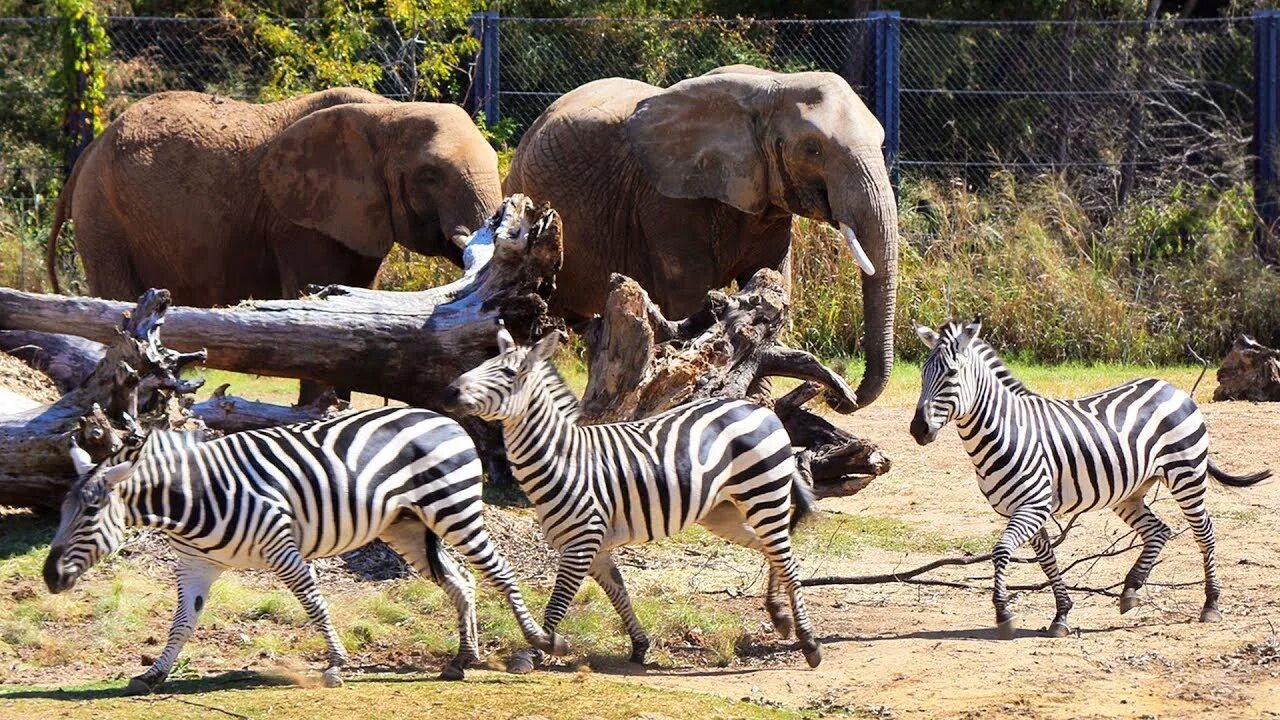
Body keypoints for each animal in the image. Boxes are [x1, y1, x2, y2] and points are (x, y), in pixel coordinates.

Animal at [45, 404, 565, 691]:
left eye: (90, 512)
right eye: (63, 510)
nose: (49, 578)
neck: (189, 498)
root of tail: (443, 417)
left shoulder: (282, 546)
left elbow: (314, 603)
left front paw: (335, 665)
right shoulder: (195, 564)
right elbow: (181, 625)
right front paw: (153, 675)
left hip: (453, 507)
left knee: (499, 570)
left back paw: (538, 643)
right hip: (407, 525)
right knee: (462, 579)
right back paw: (462, 658)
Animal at [440, 325, 824, 666]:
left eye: (507, 372)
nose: (450, 391)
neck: (563, 458)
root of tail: (759, 408)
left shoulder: (581, 543)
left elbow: (558, 602)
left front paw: (538, 649)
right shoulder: (594, 548)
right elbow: (618, 591)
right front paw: (640, 646)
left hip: (763, 493)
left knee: (787, 560)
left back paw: (809, 642)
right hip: (722, 511)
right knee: (773, 552)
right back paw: (780, 617)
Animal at [504, 65, 906, 409]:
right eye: (812, 148)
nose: (840, 398)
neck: (769, 86)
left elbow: (773, 282)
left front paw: (756, 403)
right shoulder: (666, 198)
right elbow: (689, 290)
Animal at [911, 316, 1269, 635]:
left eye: (952, 373)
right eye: (922, 373)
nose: (918, 429)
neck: (1007, 429)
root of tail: (1173, 388)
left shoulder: (1033, 506)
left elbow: (1001, 551)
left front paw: (1003, 613)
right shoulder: (1026, 509)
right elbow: (1047, 560)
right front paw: (1061, 615)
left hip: (1187, 474)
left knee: (1204, 532)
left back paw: (1211, 604)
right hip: (1131, 492)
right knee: (1159, 530)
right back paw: (1130, 590)